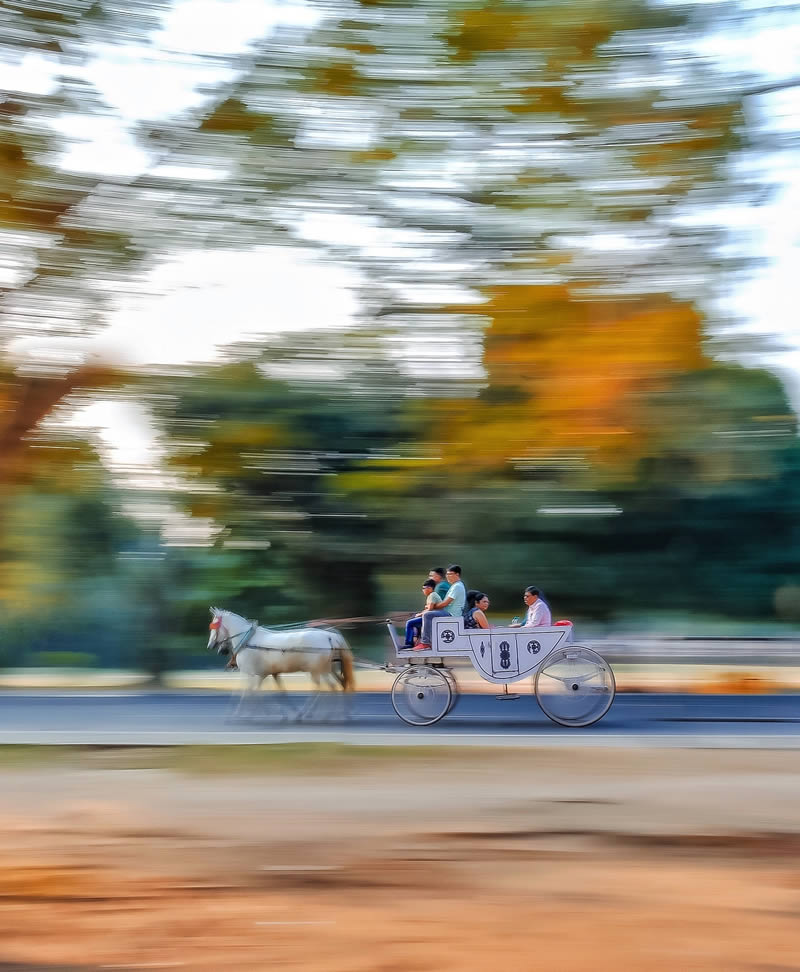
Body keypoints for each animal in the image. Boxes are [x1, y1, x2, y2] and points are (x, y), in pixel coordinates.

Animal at [206, 608, 356, 720]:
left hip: (318, 670)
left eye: (213, 627)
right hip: (327, 670)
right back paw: (338, 713)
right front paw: (271, 712)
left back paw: (316, 713)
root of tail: (329, 636)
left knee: (325, 688)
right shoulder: (264, 674)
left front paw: (237, 713)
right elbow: (266, 691)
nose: (212, 646)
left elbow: (245, 692)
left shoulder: (248, 673)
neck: (247, 640)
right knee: (339, 685)